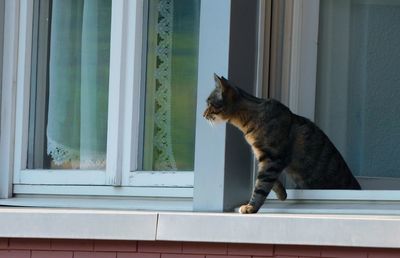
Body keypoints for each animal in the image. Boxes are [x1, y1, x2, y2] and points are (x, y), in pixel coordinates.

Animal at [205, 74, 360, 214]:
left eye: (209, 103)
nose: (203, 114)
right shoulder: (264, 157)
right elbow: (265, 179)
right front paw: (281, 193)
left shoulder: (273, 157)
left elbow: (261, 185)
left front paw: (251, 207)